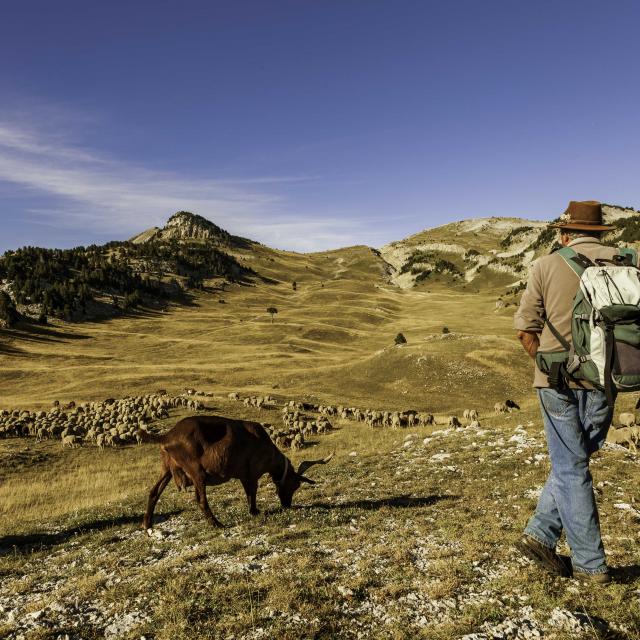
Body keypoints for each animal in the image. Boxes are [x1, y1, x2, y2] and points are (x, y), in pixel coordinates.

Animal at [140, 416, 330, 528]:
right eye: (295, 485)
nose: (287, 504)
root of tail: (167, 436)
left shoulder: (244, 475)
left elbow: (248, 493)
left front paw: (252, 511)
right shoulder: (253, 472)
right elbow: (252, 491)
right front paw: (254, 511)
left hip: (166, 468)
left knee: (154, 492)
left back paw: (147, 524)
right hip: (196, 472)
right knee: (201, 500)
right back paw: (217, 523)